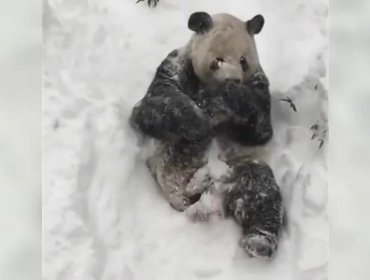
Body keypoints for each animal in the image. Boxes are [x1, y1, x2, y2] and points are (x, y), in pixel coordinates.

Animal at [130, 12, 284, 260]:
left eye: (243, 61)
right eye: (218, 60)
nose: (233, 79)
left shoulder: (259, 84)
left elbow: (260, 130)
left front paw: (224, 97)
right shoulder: (173, 67)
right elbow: (150, 109)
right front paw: (200, 121)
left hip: (237, 169)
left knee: (260, 186)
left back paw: (259, 241)